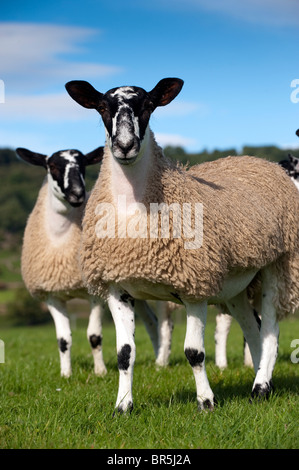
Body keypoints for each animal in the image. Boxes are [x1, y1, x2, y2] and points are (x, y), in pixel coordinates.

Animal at [17, 147, 161, 378]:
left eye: (83, 164)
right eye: (53, 166)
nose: (77, 194)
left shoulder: (96, 293)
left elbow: (94, 336)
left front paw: (100, 371)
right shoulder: (52, 296)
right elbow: (63, 340)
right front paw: (66, 374)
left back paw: (162, 360)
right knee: (151, 320)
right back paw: (158, 361)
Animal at [66, 78, 299, 414]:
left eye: (149, 105)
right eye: (101, 107)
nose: (125, 145)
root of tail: (260, 162)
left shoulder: (194, 285)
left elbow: (194, 353)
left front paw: (206, 402)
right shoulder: (116, 286)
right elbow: (124, 354)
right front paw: (123, 406)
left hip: (278, 264)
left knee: (270, 330)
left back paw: (260, 387)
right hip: (236, 285)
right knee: (253, 330)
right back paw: (259, 380)